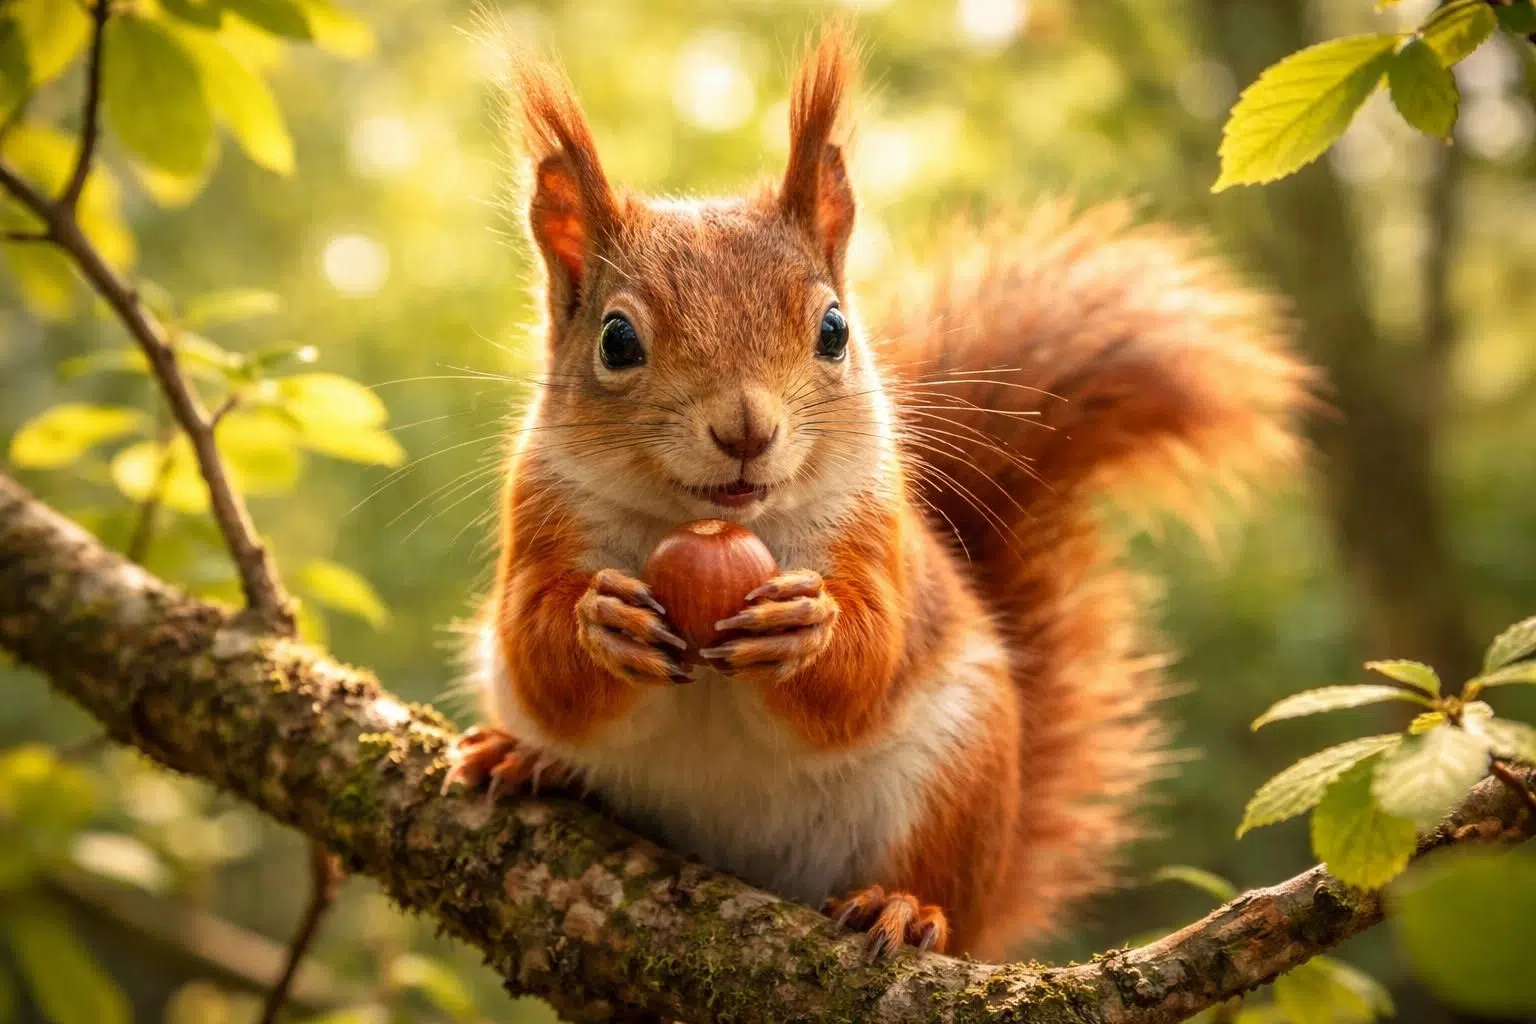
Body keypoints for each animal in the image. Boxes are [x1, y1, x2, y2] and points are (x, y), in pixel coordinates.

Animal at [444, 28, 1313, 961]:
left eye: (834, 330)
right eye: (616, 340)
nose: (746, 430)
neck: (709, 522)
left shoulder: (873, 523)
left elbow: (865, 662)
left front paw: (810, 628)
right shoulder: (541, 511)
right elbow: (538, 651)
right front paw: (601, 624)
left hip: (954, 780)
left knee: (930, 877)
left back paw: (904, 907)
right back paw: (525, 758)